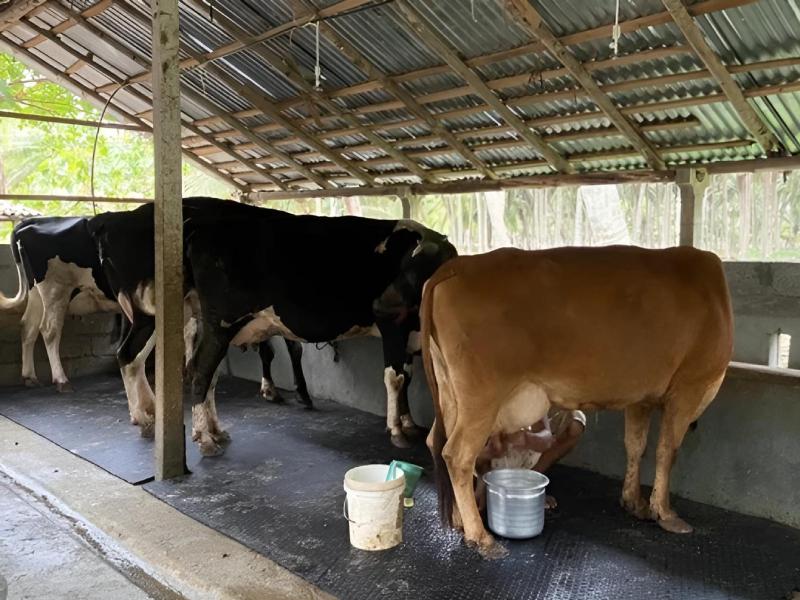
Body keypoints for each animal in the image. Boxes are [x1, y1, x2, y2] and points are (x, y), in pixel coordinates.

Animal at [0, 216, 119, 392]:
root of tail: (29, 222)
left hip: (36, 291)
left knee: (28, 326)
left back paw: (30, 377)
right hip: (55, 289)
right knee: (49, 330)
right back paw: (61, 380)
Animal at [183, 203, 457, 456]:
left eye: (413, 272)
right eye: (405, 269)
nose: (378, 305)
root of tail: (203, 230)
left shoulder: (410, 332)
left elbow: (407, 377)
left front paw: (409, 422)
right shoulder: (392, 326)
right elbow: (395, 377)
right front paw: (397, 429)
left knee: (207, 374)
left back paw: (215, 431)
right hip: (221, 323)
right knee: (200, 372)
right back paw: (205, 437)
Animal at [421, 245, 733, 557]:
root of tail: (457, 266)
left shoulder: (640, 399)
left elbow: (636, 446)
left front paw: (635, 503)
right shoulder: (690, 386)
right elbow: (668, 452)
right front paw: (666, 513)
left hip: (451, 393)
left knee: (436, 443)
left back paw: (459, 520)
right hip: (481, 397)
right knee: (458, 454)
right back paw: (480, 536)